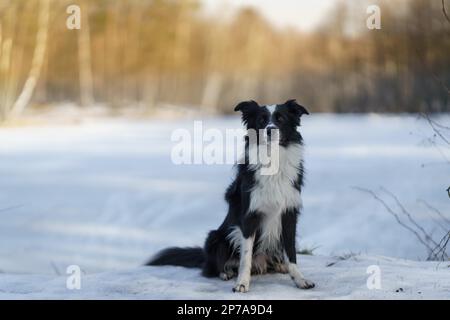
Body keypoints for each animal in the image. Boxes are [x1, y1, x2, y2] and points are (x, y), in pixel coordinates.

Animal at [148, 99, 312, 292]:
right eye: (261, 120)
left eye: (280, 119)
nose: (270, 130)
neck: (272, 159)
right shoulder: (249, 216)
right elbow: (246, 257)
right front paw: (242, 283)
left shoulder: (289, 214)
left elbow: (291, 252)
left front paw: (300, 279)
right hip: (216, 238)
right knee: (213, 267)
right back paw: (225, 273)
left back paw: (279, 266)